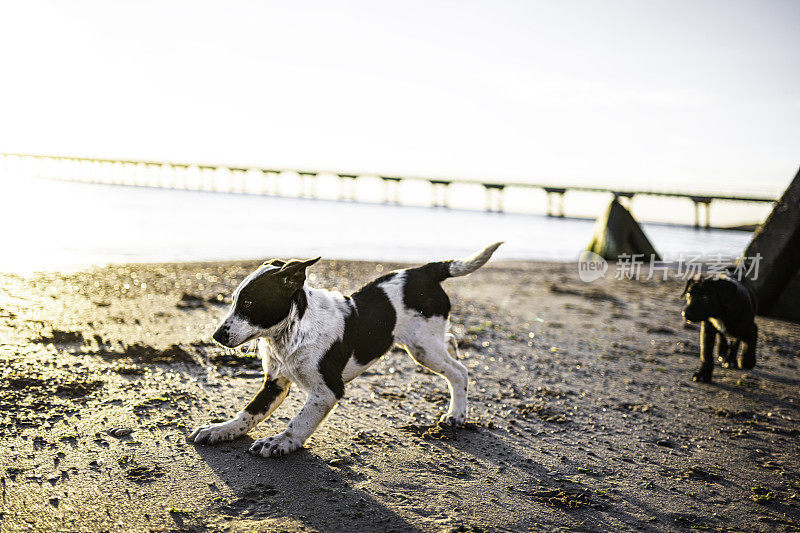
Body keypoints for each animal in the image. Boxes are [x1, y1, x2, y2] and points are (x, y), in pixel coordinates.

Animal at [188, 243, 500, 456]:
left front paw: (280, 442)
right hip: (424, 343)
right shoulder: (275, 382)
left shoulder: (326, 391)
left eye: (249, 304)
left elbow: (299, 421)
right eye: (233, 301)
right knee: (451, 341)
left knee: (459, 372)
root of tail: (426, 271)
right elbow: (249, 413)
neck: (290, 332)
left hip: (423, 346)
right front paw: (221, 430)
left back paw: (456, 415)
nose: (216, 336)